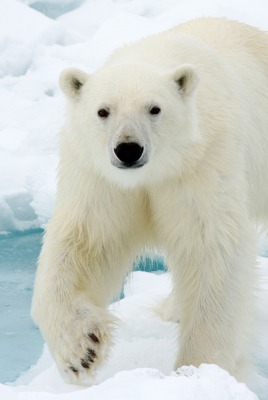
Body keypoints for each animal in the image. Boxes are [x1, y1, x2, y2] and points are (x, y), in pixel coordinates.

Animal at [30, 18, 268, 384]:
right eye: (103, 111)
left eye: (155, 108)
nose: (128, 149)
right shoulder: (101, 180)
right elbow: (85, 242)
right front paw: (81, 350)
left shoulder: (202, 162)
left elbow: (210, 246)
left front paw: (199, 370)